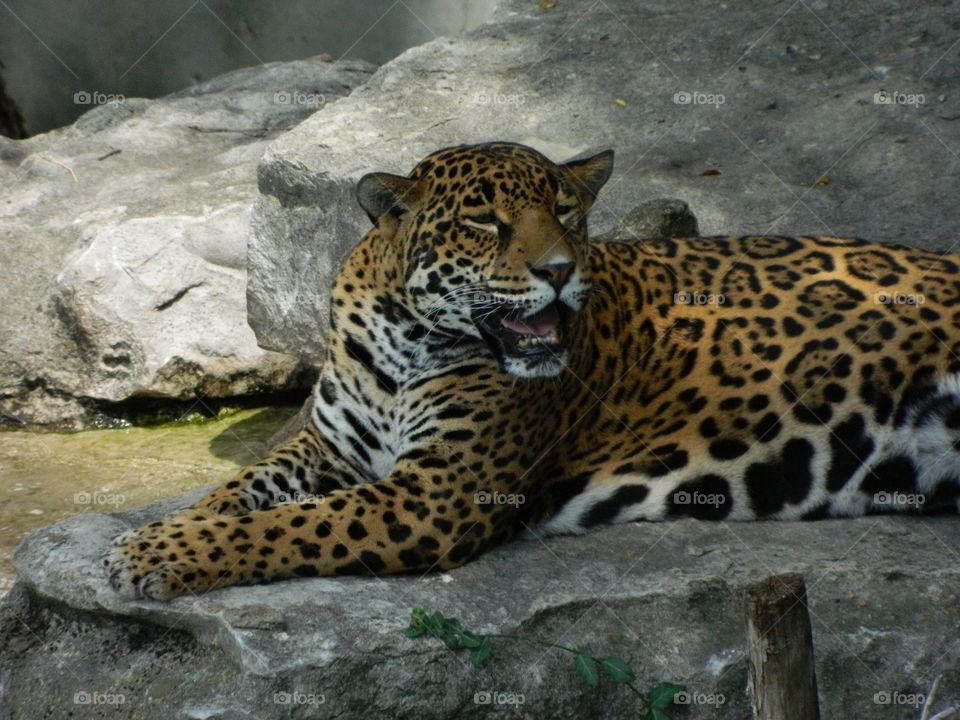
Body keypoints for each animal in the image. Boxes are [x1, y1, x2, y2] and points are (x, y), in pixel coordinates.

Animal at [106, 141, 960, 600]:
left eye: (566, 211)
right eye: (485, 220)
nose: (557, 270)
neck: (403, 339)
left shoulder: (435, 495)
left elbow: (286, 526)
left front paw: (157, 557)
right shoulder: (329, 449)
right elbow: (239, 493)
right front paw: (164, 531)